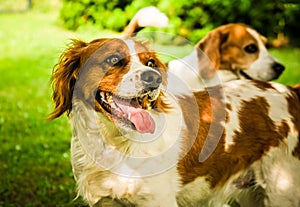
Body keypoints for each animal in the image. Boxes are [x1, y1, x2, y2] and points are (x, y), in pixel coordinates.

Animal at [49, 37, 300, 207]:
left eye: (151, 63)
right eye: (113, 59)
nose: (154, 77)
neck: (114, 145)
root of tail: (290, 91)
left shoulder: (158, 200)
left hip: (282, 189)